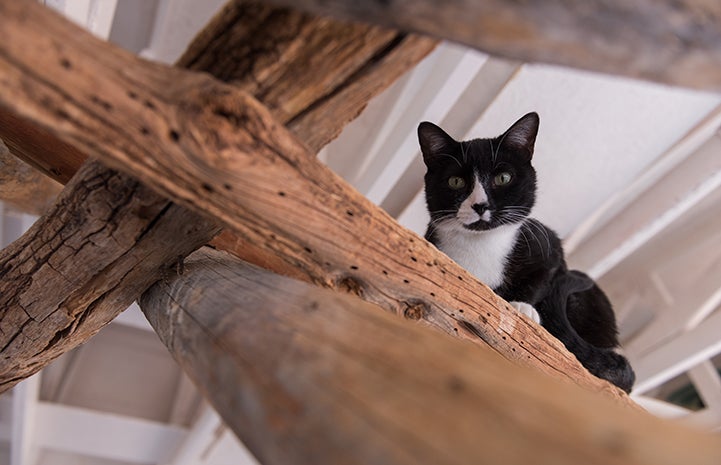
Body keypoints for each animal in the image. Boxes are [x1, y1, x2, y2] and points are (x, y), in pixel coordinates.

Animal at [420, 112, 632, 392]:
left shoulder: (549, 247)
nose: (480, 205)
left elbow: (541, 278)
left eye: (503, 178)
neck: (481, 244)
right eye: (455, 181)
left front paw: (523, 307)